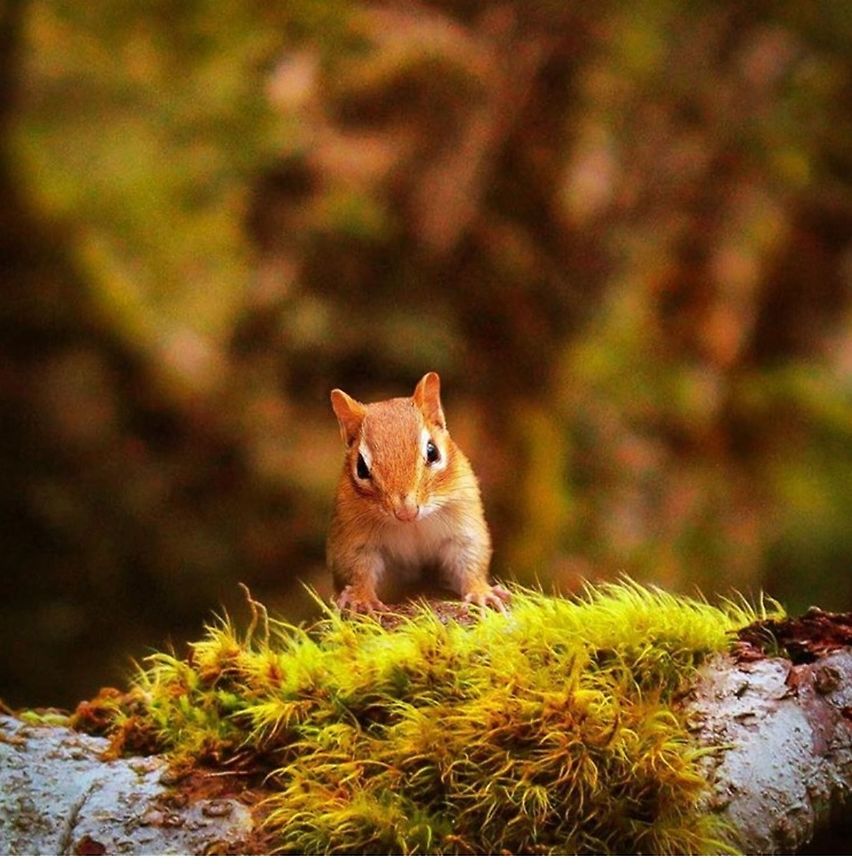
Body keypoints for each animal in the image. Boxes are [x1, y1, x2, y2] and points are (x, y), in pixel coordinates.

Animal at [327, 372, 510, 614]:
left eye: (432, 452)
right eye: (361, 468)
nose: (406, 512)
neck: (412, 525)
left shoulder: (463, 524)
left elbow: (469, 558)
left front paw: (480, 592)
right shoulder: (354, 537)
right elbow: (359, 569)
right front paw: (361, 597)